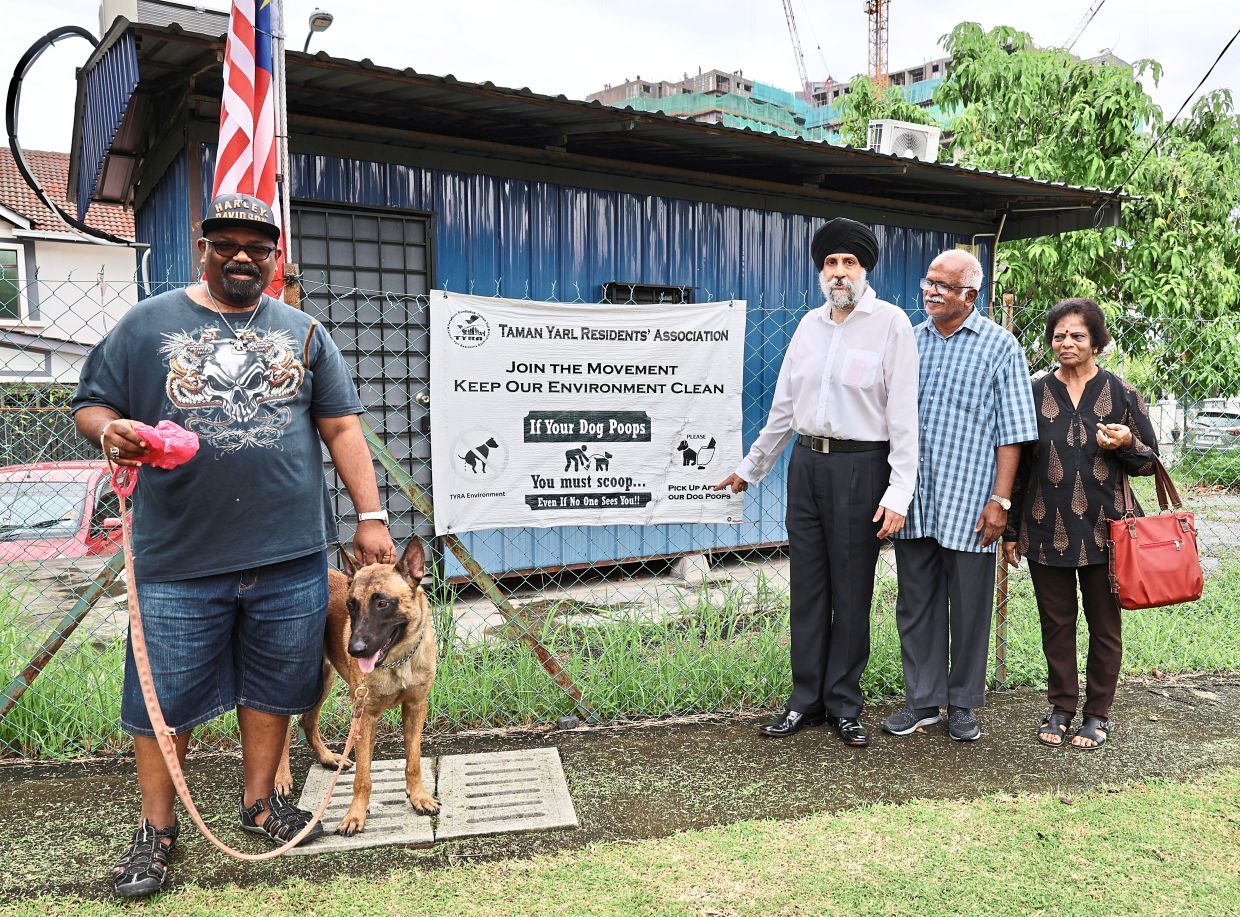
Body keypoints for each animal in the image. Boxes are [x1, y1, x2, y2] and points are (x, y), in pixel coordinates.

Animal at [280, 537, 441, 837]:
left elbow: (413, 761)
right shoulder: (365, 717)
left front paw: (418, 797)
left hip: (324, 681)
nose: (354, 650)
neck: (398, 661)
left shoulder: (415, 708)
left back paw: (329, 758)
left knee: (307, 721)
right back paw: (281, 778)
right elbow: (363, 777)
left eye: (382, 603)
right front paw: (355, 815)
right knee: (282, 733)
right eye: (351, 605)